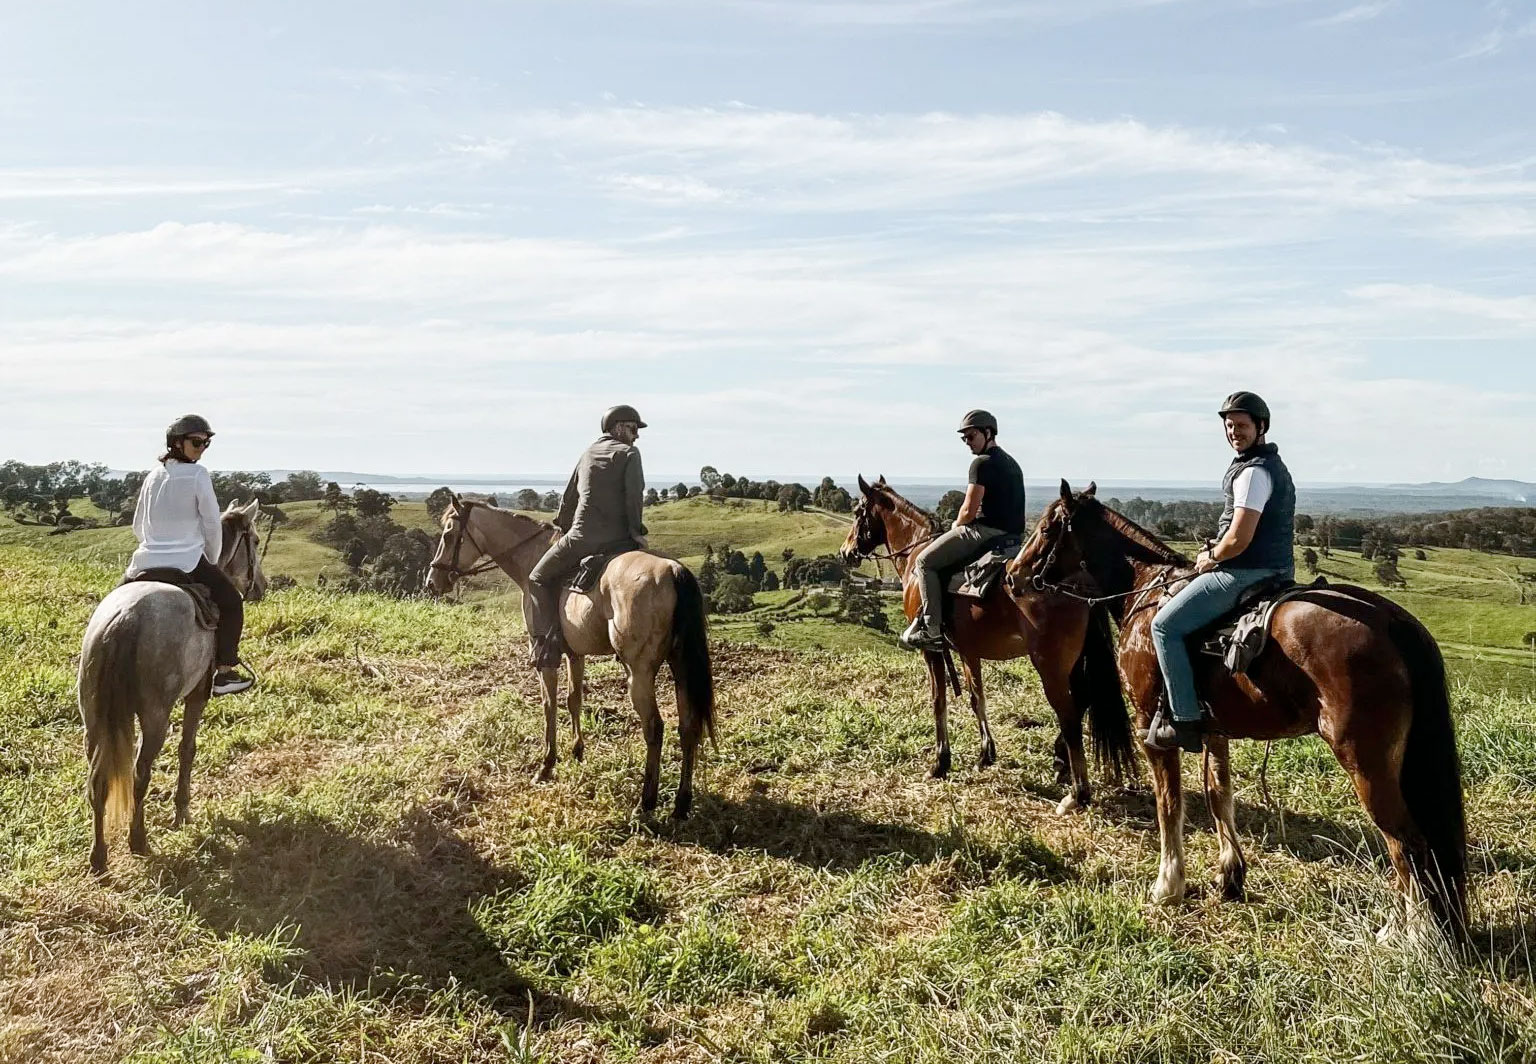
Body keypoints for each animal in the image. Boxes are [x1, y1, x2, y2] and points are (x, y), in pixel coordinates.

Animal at [79, 497, 267, 872]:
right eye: (254, 541)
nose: (261, 587)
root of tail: (123, 618)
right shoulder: (197, 695)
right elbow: (187, 749)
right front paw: (182, 812)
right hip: (155, 715)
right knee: (140, 773)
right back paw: (138, 840)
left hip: (93, 718)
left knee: (98, 780)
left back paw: (99, 857)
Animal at [420, 497, 706, 810]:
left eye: (448, 535)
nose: (432, 580)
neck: (532, 556)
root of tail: (671, 571)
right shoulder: (574, 654)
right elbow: (573, 701)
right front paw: (577, 751)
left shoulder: (546, 656)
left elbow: (549, 704)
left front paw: (547, 764)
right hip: (681, 668)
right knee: (688, 726)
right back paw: (682, 803)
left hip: (639, 674)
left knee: (654, 727)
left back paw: (647, 800)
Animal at [835, 472, 1136, 804]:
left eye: (857, 512)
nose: (845, 552)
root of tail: (1077, 582)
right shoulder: (969, 650)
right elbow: (976, 697)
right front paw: (985, 755)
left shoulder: (933, 651)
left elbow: (939, 699)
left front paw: (940, 763)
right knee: (1082, 700)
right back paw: (1061, 764)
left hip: (1050, 665)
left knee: (1069, 712)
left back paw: (1077, 788)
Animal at [1007, 482, 1462, 939]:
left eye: (1045, 529)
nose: (1013, 576)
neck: (1147, 594)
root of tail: (1390, 620)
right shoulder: (1215, 731)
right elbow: (1218, 796)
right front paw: (1230, 875)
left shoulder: (1151, 730)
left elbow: (1169, 805)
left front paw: (1168, 885)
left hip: (1365, 763)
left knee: (1407, 843)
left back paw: (1408, 932)